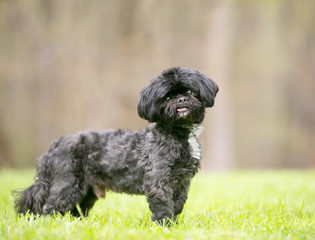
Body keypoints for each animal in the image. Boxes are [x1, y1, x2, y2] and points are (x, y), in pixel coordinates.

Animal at [13, 67, 218, 225]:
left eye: (190, 92)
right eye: (167, 98)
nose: (181, 100)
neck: (179, 133)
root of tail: (54, 146)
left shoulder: (183, 181)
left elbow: (179, 203)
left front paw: (174, 222)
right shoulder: (158, 180)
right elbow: (163, 204)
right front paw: (165, 225)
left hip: (87, 190)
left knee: (76, 210)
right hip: (68, 183)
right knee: (52, 206)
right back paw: (52, 223)